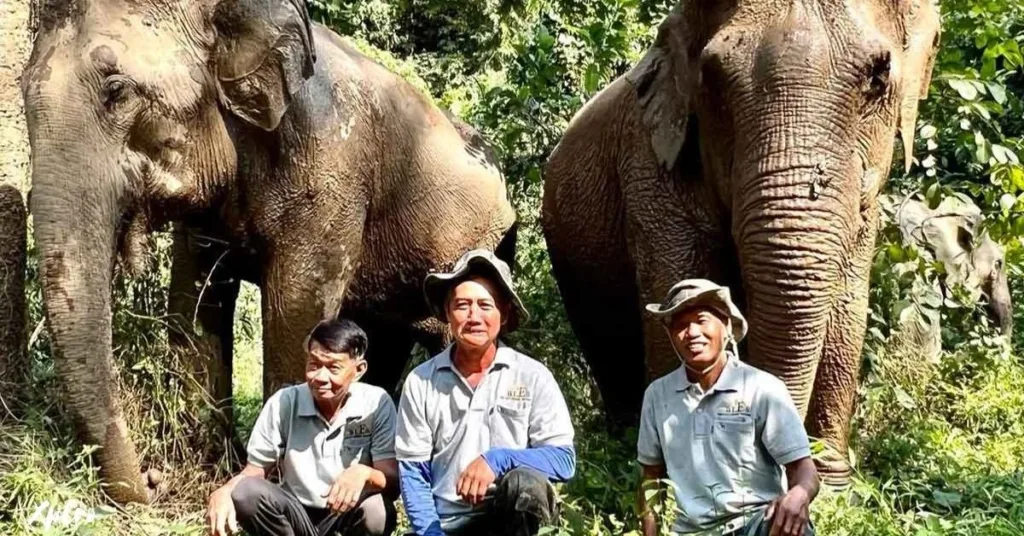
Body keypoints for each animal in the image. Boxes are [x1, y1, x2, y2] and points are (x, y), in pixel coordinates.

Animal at [22, 0, 520, 504]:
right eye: (23, 93)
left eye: (116, 91)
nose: (152, 479)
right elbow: (195, 301)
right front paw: (209, 468)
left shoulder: (330, 167)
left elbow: (295, 309)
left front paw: (275, 480)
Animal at [540, 0, 937, 485]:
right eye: (712, 78)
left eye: (878, 76)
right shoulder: (651, 169)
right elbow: (675, 289)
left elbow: (847, 306)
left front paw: (833, 480)